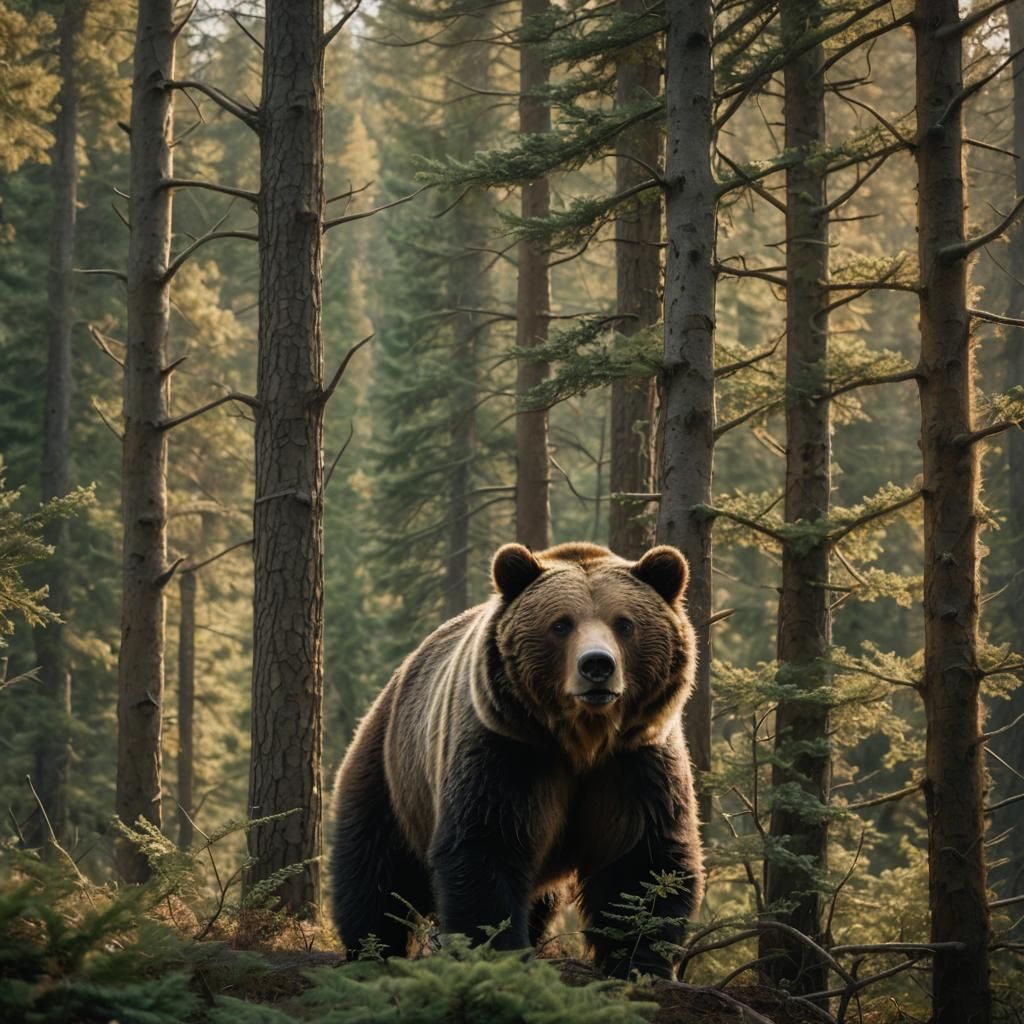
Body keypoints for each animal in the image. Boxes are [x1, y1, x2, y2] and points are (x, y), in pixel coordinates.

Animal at [328, 541, 704, 978]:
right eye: (561, 624)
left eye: (624, 624)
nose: (597, 665)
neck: (583, 740)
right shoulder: (508, 750)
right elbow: (487, 845)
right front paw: (500, 951)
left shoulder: (635, 761)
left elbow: (643, 859)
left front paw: (638, 961)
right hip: (392, 773)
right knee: (374, 869)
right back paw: (371, 951)